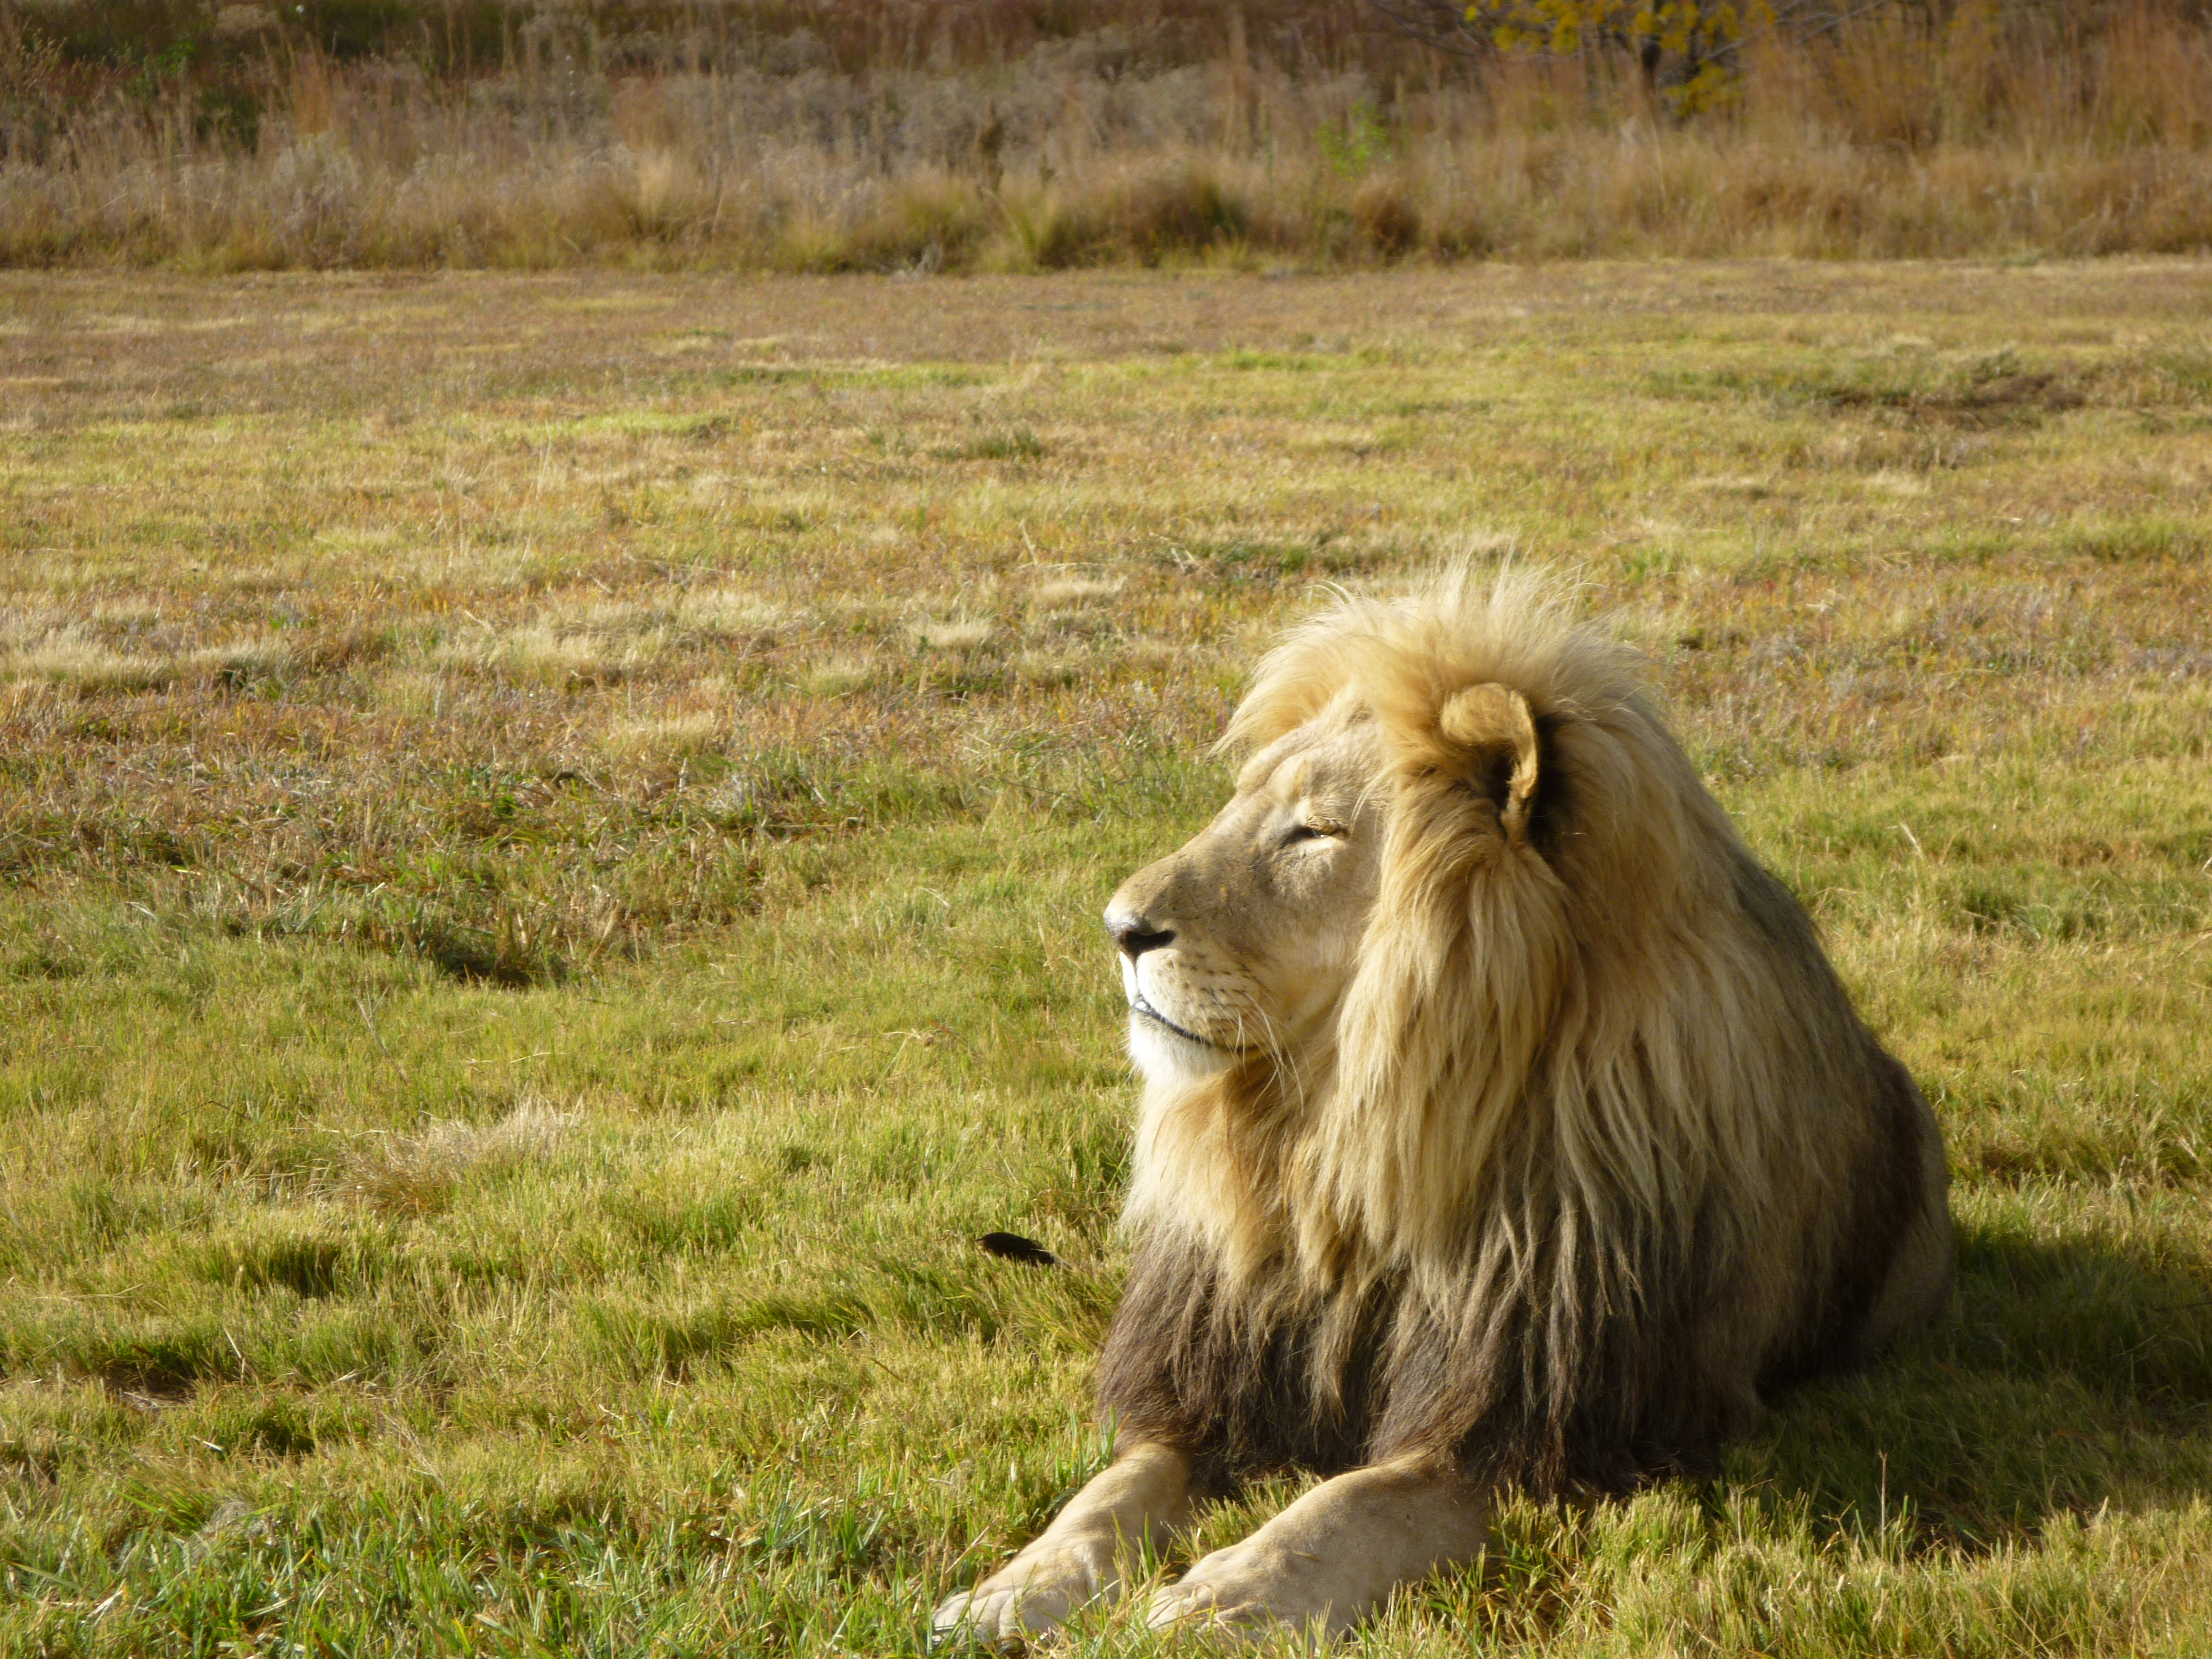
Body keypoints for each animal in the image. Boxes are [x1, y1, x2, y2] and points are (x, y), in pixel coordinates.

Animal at [933, 568, 1953, 1644]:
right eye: (1240, 808)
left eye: (1313, 830)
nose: (1120, 929)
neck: (1347, 1141)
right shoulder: (1218, 1386)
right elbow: (1109, 1493)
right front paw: (1014, 1587)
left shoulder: (1542, 1433)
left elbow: (1345, 1506)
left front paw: (1220, 1597)